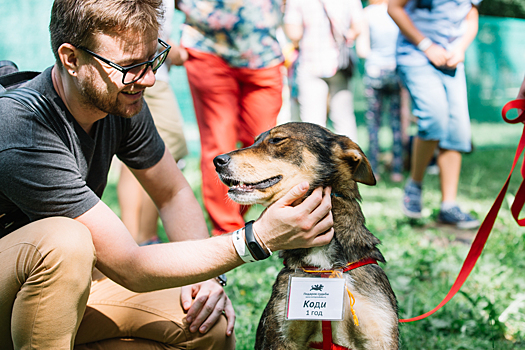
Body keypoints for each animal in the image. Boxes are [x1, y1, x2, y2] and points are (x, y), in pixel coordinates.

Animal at [213, 123, 398, 350]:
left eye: (277, 140)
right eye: (255, 141)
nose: (218, 161)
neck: (326, 268)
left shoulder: (379, 337)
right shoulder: (280, 335)